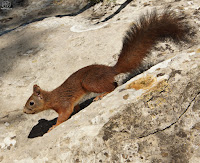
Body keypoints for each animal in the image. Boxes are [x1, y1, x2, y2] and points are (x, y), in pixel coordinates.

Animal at [23, 8, 191, 132]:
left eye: (31, 103)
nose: (24, 111)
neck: (51, 98)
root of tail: (111, 70)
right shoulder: (72, 102)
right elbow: (75, 108)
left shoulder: (63, 103)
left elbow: (64, 115)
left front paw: (53, 126)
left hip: (90, 82)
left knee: (113, 86)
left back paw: (101, 95)